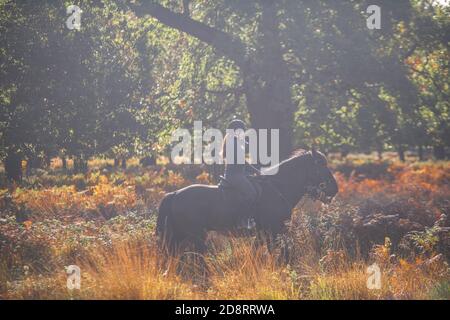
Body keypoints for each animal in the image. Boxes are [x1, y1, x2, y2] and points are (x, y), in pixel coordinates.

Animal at [157, 148, 338, 255]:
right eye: (320, 165)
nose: (334, 189)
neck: (278, 188)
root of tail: (175, 194)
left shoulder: (263, 234)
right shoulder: (274, 231)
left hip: (180, 236)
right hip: (195, 236)